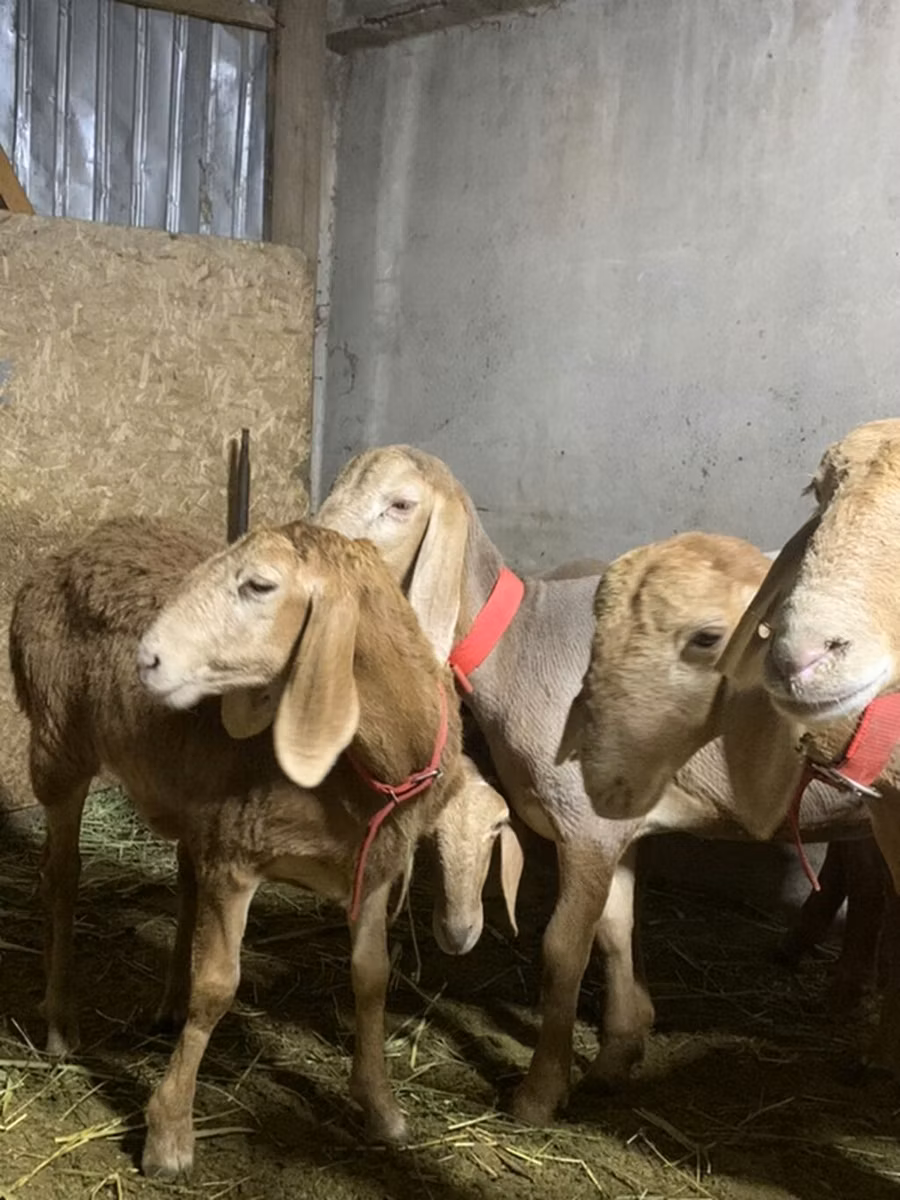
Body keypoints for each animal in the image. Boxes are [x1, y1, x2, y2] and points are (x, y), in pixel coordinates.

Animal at [9, 514, 522, 1177]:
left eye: (259, 585)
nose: (147, 659)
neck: (364, 763)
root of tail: (85, 543)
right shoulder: (236, 859)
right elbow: (217, 988)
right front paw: (169, 1133)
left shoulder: (371, 869)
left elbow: (372, 979)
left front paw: (381, 1107)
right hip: (58, 741)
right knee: (61, 877)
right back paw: (59, 1023)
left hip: (190, 795)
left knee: (182, 876)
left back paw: (165, 1003)